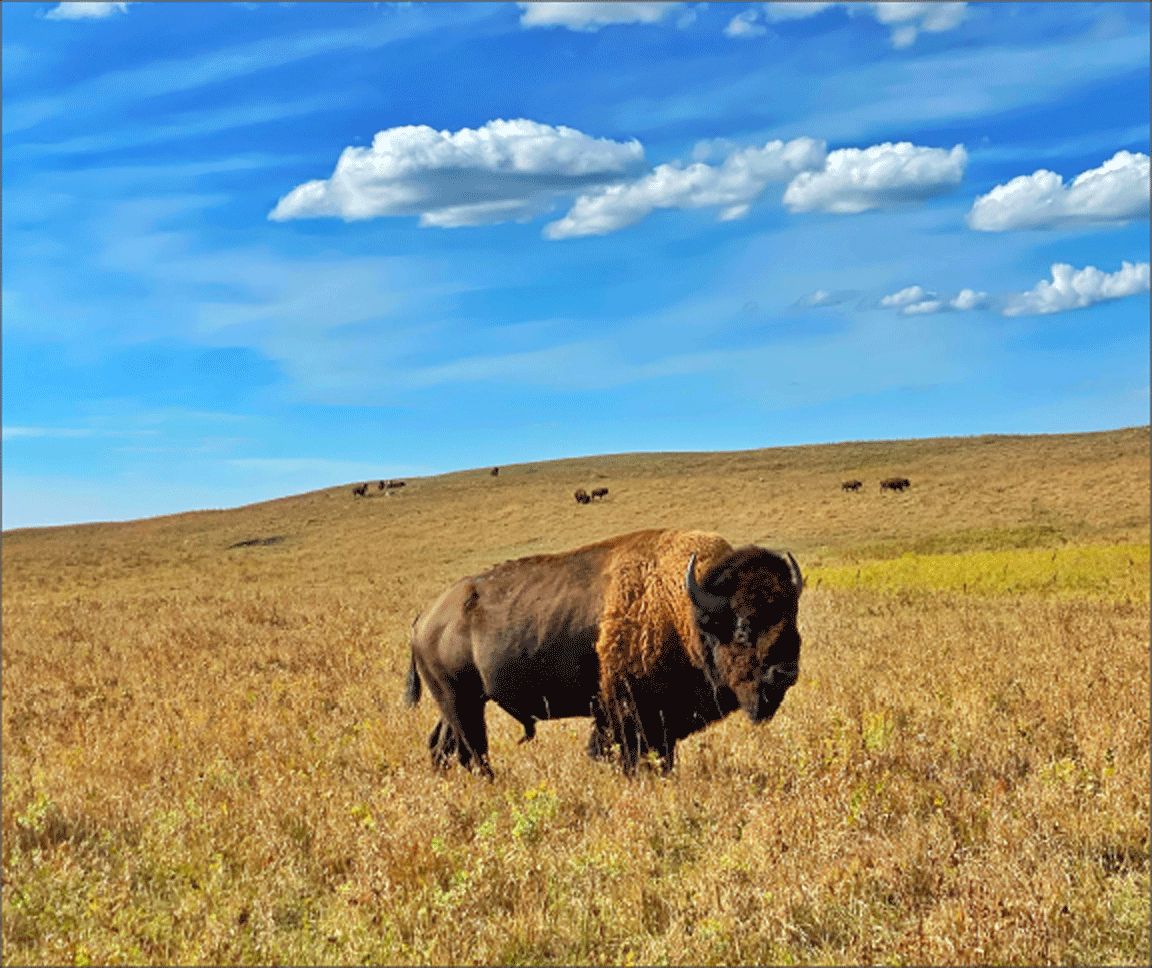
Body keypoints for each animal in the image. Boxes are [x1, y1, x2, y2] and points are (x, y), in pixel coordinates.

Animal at [404, 529, 803, 777]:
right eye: (744, 625)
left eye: (793, 616)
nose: (786, 673)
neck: (684, 608)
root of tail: (424, 617)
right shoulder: (630, 715)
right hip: (459, 701)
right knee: (472, 750)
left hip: (462, 702)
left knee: (444, 745)